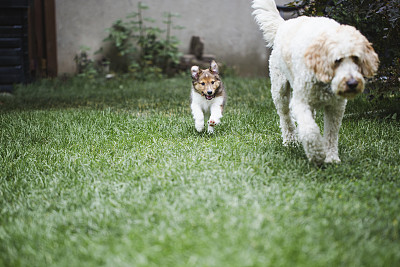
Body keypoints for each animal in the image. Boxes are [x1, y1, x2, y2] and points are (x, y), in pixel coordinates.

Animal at [253, 0, 378, 163]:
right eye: (337, 60)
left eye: (356, 58)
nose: (352, 84)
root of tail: (284, 24)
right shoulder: (300, 102)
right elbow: (310, 130)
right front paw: (317, 154)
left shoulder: (336, 107)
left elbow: (331, 134)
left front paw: (331, 158)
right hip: (280, 90)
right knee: (285, 117)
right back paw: (290, 140)